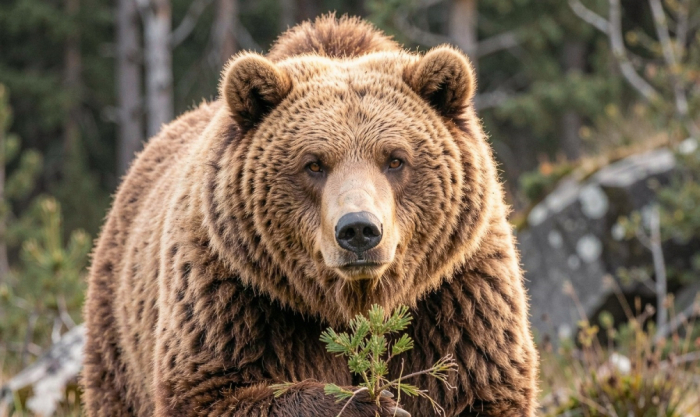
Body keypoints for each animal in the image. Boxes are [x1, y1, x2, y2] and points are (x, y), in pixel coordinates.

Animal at [82, 15, 538, 417]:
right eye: (314, 164)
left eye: (395, 159)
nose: (359, 230)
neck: (351, 304)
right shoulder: (234, 295)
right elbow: (214, 392)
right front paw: (371, 403)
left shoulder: (458, 300)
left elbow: (477, 384)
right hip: (118, 336)